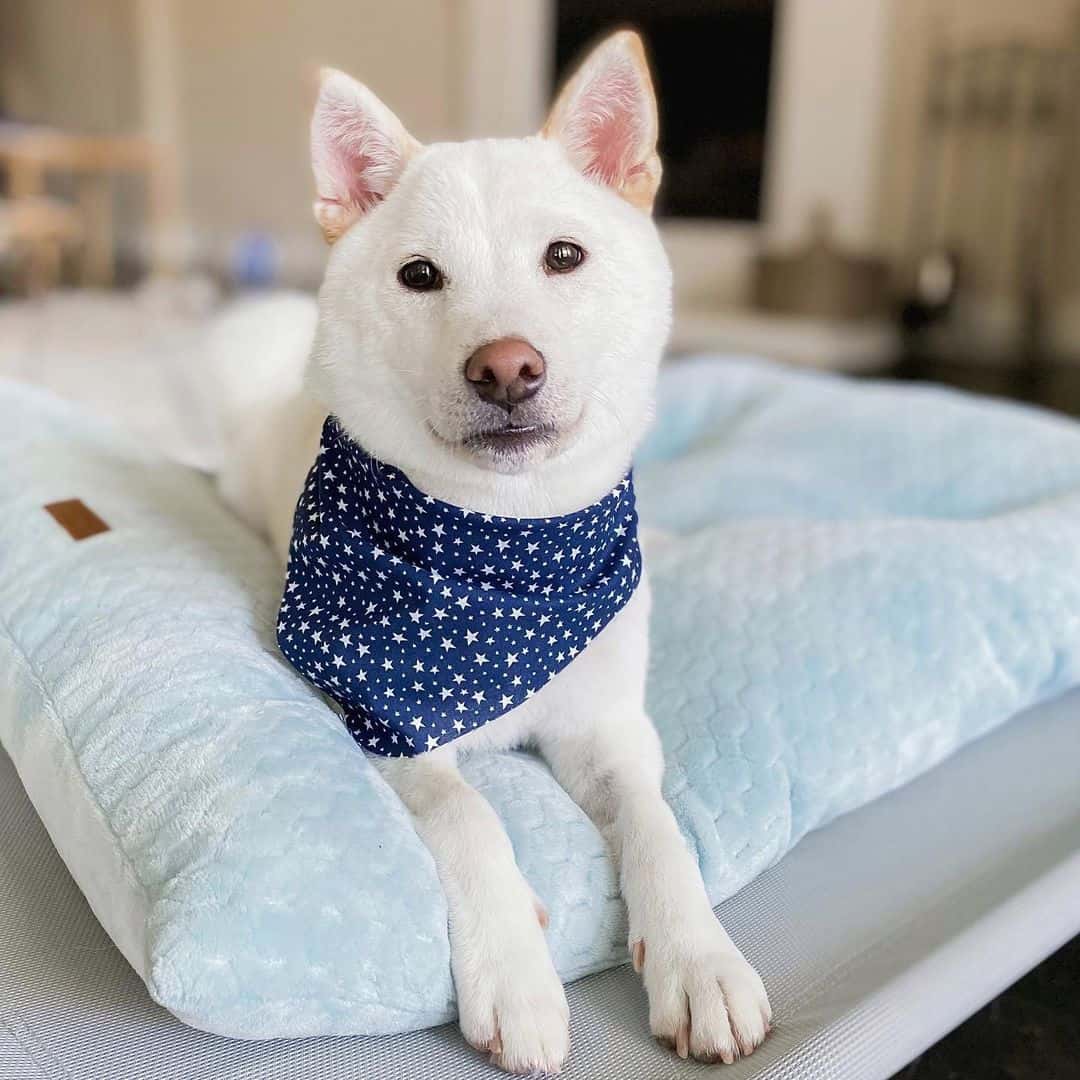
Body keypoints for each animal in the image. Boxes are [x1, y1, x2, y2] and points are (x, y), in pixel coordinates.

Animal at [219, 31, 768, 1071]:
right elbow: (469, 817)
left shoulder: (608, 731)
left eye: (564, 256)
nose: (506, 367)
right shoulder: (391, 725)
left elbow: (660, 827)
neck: (504, 550)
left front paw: (700, 958)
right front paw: (515, 974)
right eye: (420, 276)